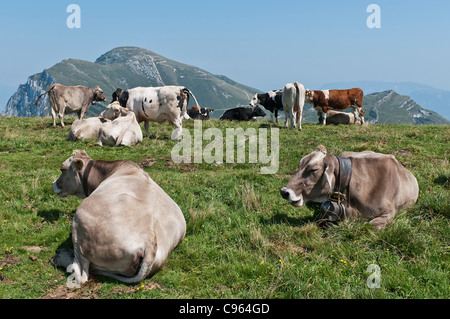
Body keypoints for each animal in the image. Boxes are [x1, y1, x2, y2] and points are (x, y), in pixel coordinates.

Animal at [51, 151, 185, 288]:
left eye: (62, 169)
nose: (53, 184)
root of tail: (150, 242)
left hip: (79, 223)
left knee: (81, 275)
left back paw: (61, 256)